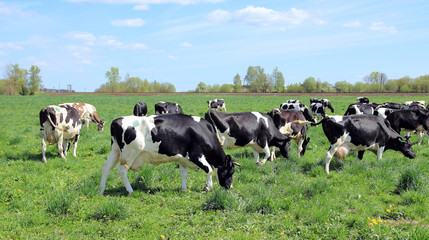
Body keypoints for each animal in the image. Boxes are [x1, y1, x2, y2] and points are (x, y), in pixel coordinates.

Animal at [98, 113, 236, 195]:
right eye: (231, 171)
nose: (230, 187)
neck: (203, 131)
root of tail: (117, 120)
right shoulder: (196, 155)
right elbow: (209, 170)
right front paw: (208, 187)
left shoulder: (183, 158)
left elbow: (183, 174)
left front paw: (184, 189)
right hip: (129, 154)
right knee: (121, 169)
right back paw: (130, 190)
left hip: (115, 151)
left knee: (106, 167)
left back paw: (101, 189)